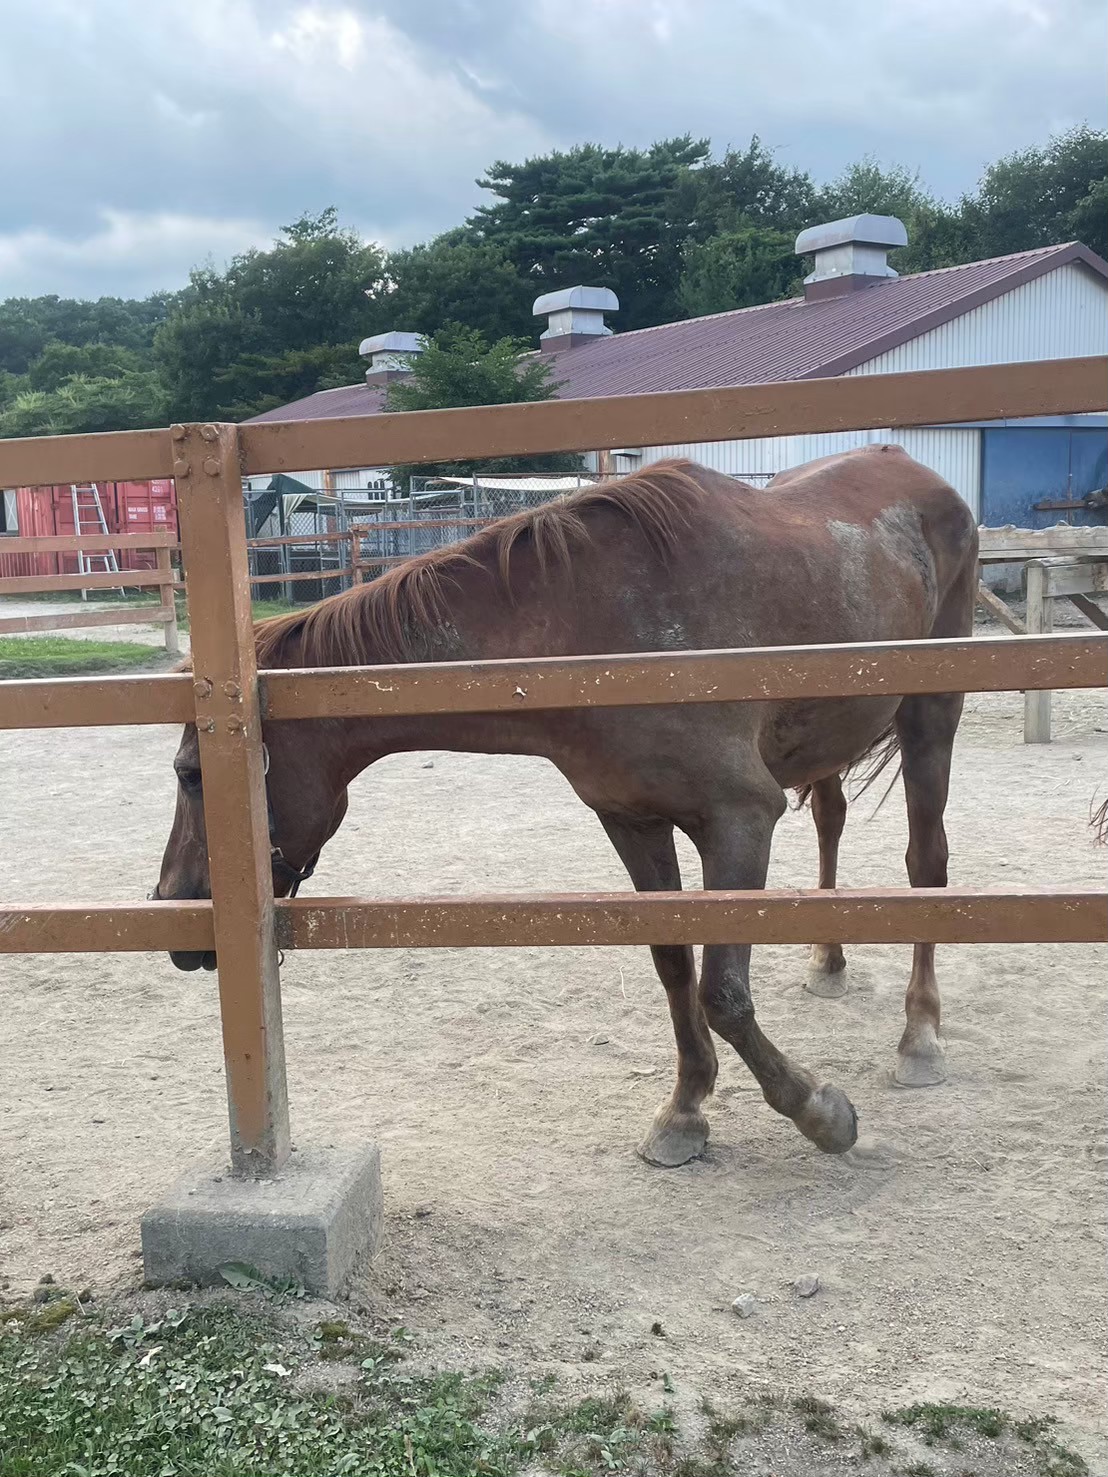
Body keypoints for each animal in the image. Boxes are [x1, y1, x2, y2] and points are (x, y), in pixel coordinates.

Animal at [155, 447, 978, 1168]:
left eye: (191, 774)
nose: (174, 912)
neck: (593, 629)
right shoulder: (633, 820)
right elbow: (675, 967)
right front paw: (684, 1113)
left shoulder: (741, 818)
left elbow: (723, 992)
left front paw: (822, 1113)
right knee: (832, 823)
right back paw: (829, 962)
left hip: (930, 713)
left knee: (926, 863)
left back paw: (921, 1039)